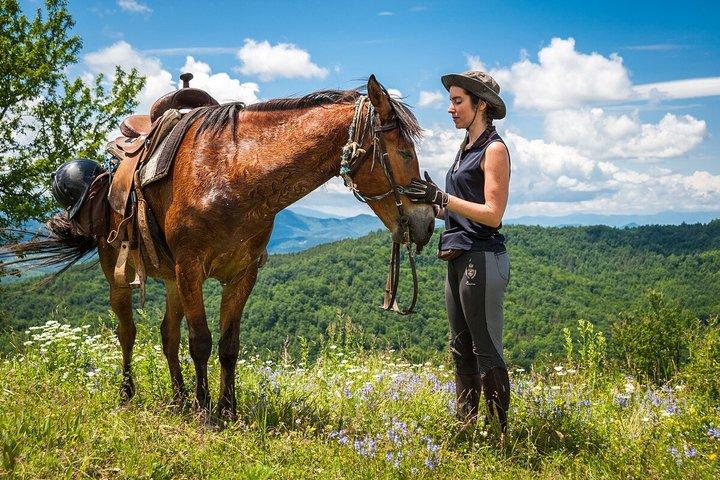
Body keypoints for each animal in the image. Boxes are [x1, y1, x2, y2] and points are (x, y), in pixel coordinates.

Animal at [4, 75, 435, 420]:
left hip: (172, 280)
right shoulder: (192, 268)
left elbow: (228, 345)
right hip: (121, 275)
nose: (426, 224)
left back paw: (178, 398)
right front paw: (205, 412)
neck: (234, 173)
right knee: (127, 333)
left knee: (167, 335)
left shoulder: (242, 274)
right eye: (404, 152)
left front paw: (228, 409)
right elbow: (201, 343)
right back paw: (129, 395)